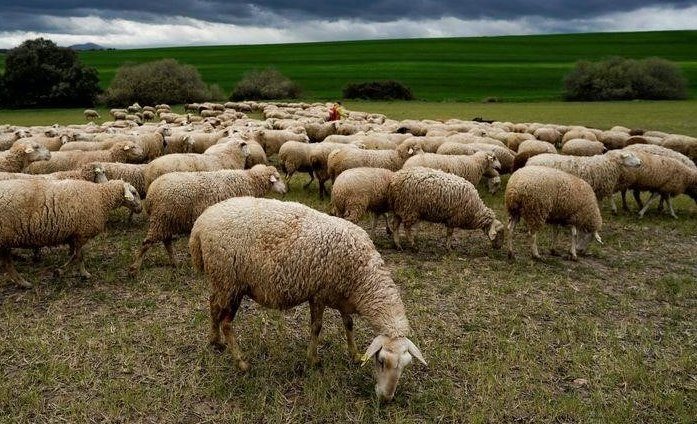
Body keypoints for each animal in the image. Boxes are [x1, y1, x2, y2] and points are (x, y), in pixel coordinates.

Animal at [0, 179, 141, 288]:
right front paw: (81, 273)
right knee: (8, 264)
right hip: (4, 236)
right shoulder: (81, 234)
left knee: (7, 264)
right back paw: (24, 283)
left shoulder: (74, 235)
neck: (101, 197)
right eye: (134, 192)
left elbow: (74, 255)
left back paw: (21, 282)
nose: (140, 209)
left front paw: (61, 271)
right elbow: (78, 256)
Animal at [129, 164, 284, 274]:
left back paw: (175, 263)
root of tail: (151, 193)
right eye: (277, 178)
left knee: (167, 242)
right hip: (161, 219)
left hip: (167, 220)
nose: (285, 191)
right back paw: (134, 269)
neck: (250, 180)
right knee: (147, 243)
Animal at [188, 195, 424, 400]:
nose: (385, 399)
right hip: (231, 282)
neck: (362, 277)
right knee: (227, 323)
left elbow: (348, 324)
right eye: (381, 361)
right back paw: (241, 363)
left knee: (213, 305)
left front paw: (354, 354)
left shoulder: (341, 295)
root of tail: (200, 224)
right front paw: (313, 360)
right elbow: (317, 327)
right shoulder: (319, 294)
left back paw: (215, 341)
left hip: (221, 281)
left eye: (406, 366)